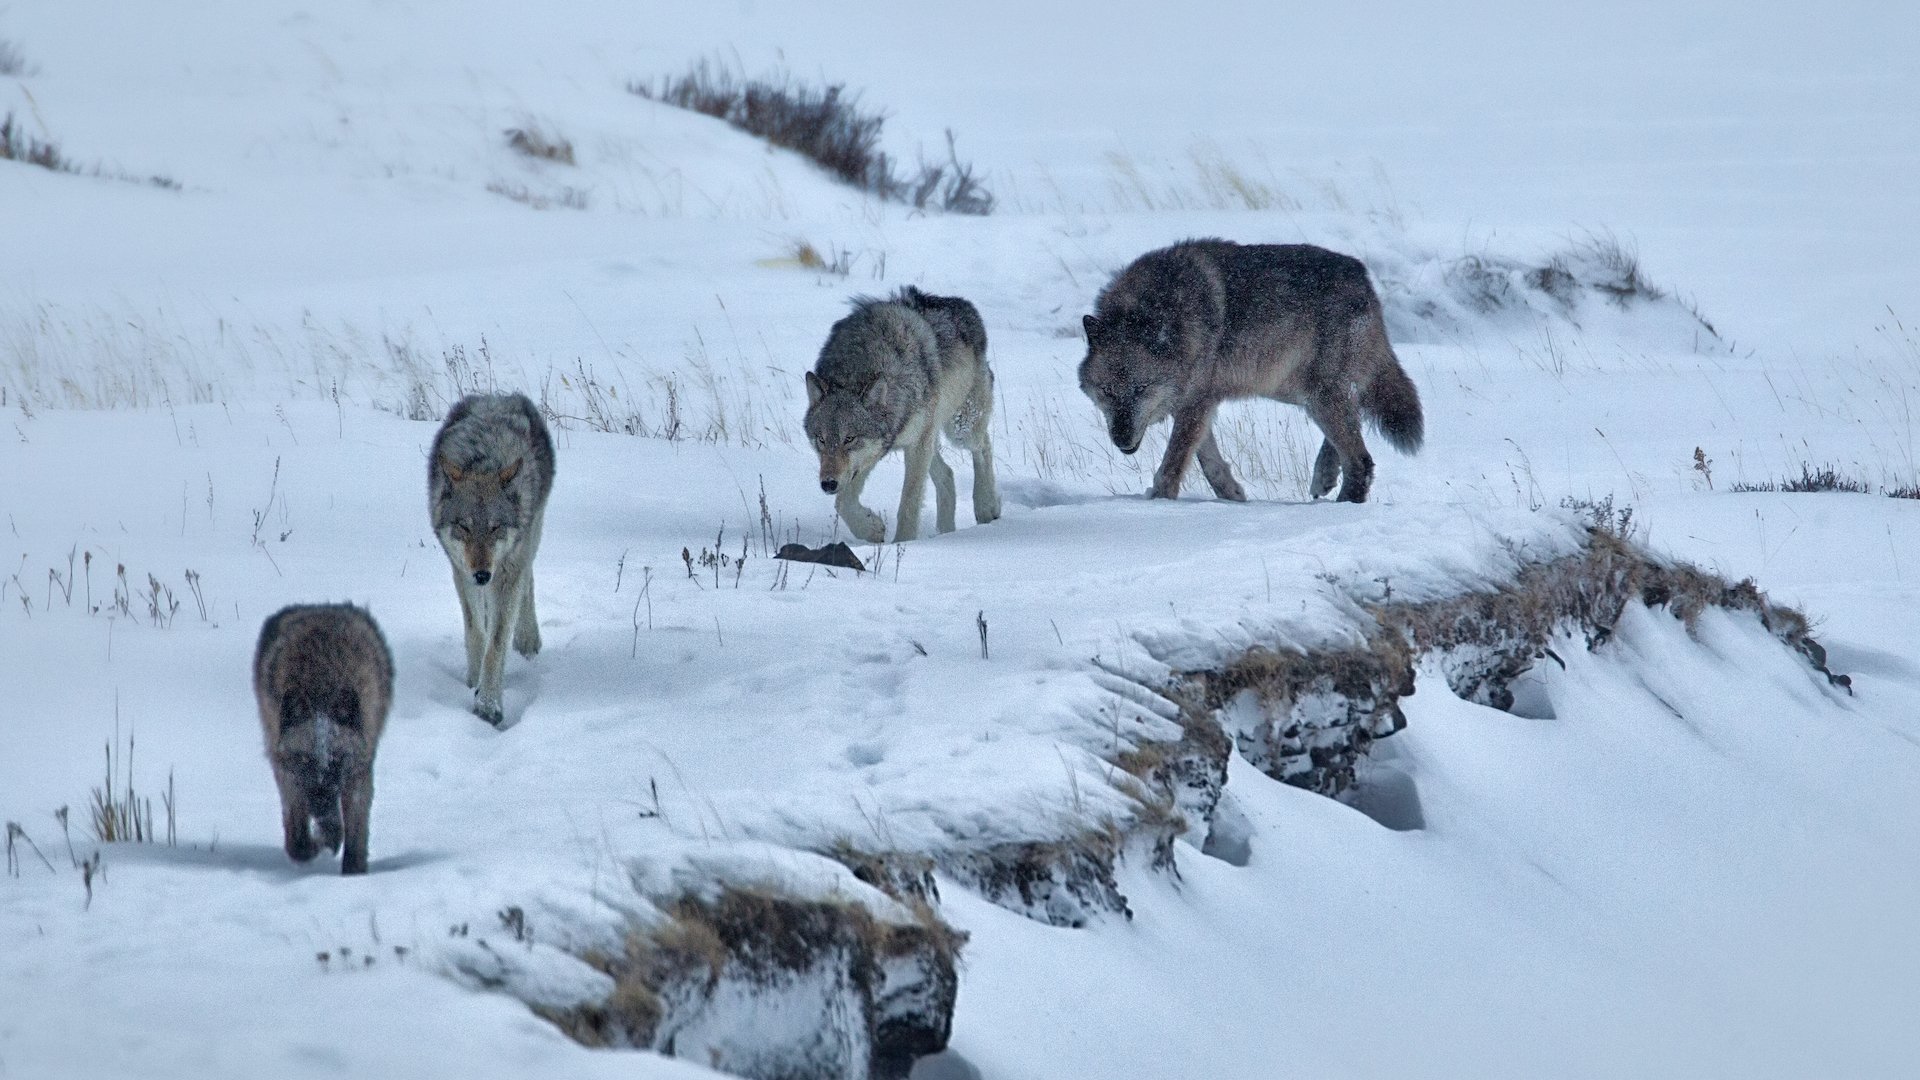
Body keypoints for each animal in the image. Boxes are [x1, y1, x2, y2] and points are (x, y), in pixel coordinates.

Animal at [255, 599, 393, 868]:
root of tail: (318, 605)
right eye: (304, 759)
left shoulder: (358, 771)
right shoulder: (288, 772)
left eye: (337, 759)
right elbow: (297, 842)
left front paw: (353, 869)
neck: (321, 682)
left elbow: (355, 836)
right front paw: (322, 841)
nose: (320, 808)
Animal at [430, 393, 556, 722]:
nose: (483, 574)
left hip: (530, 537)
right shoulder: (461, 570)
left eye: (495, 527)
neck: (484, 459)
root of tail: (497, 396)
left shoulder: (509, 569)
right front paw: (473, 683)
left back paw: (527, 641)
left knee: (528, 581)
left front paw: (488, 704)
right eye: (464, 526)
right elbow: (477, 632)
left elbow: (496, 642)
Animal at [802, 284, 1006, 538]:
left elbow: (908, 504)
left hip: (959, 430)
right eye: (821, 440)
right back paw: (946, 533)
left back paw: (987, 506)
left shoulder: (915, 445)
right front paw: (872, 529)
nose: (828, 484)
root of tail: (964, 305)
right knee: (948, 474)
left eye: (849, 439)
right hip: (933, 436)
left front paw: (904, 542)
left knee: (983, 446)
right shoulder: (874, 453)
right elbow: (842, 503)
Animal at [1082, 237, 1428, 503]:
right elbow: (1209, 462)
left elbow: (1173, 463)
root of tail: (1361, 274)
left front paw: (1157, 503)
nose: (1121, 440)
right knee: (1353, 425)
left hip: (1315, 395)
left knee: (1361, 460)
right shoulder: (1200, 402)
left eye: (1141, 389)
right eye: (1108, 392)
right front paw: (1232, 496)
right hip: (1297, 391)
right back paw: (1324, 476)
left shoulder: (1195, 403)